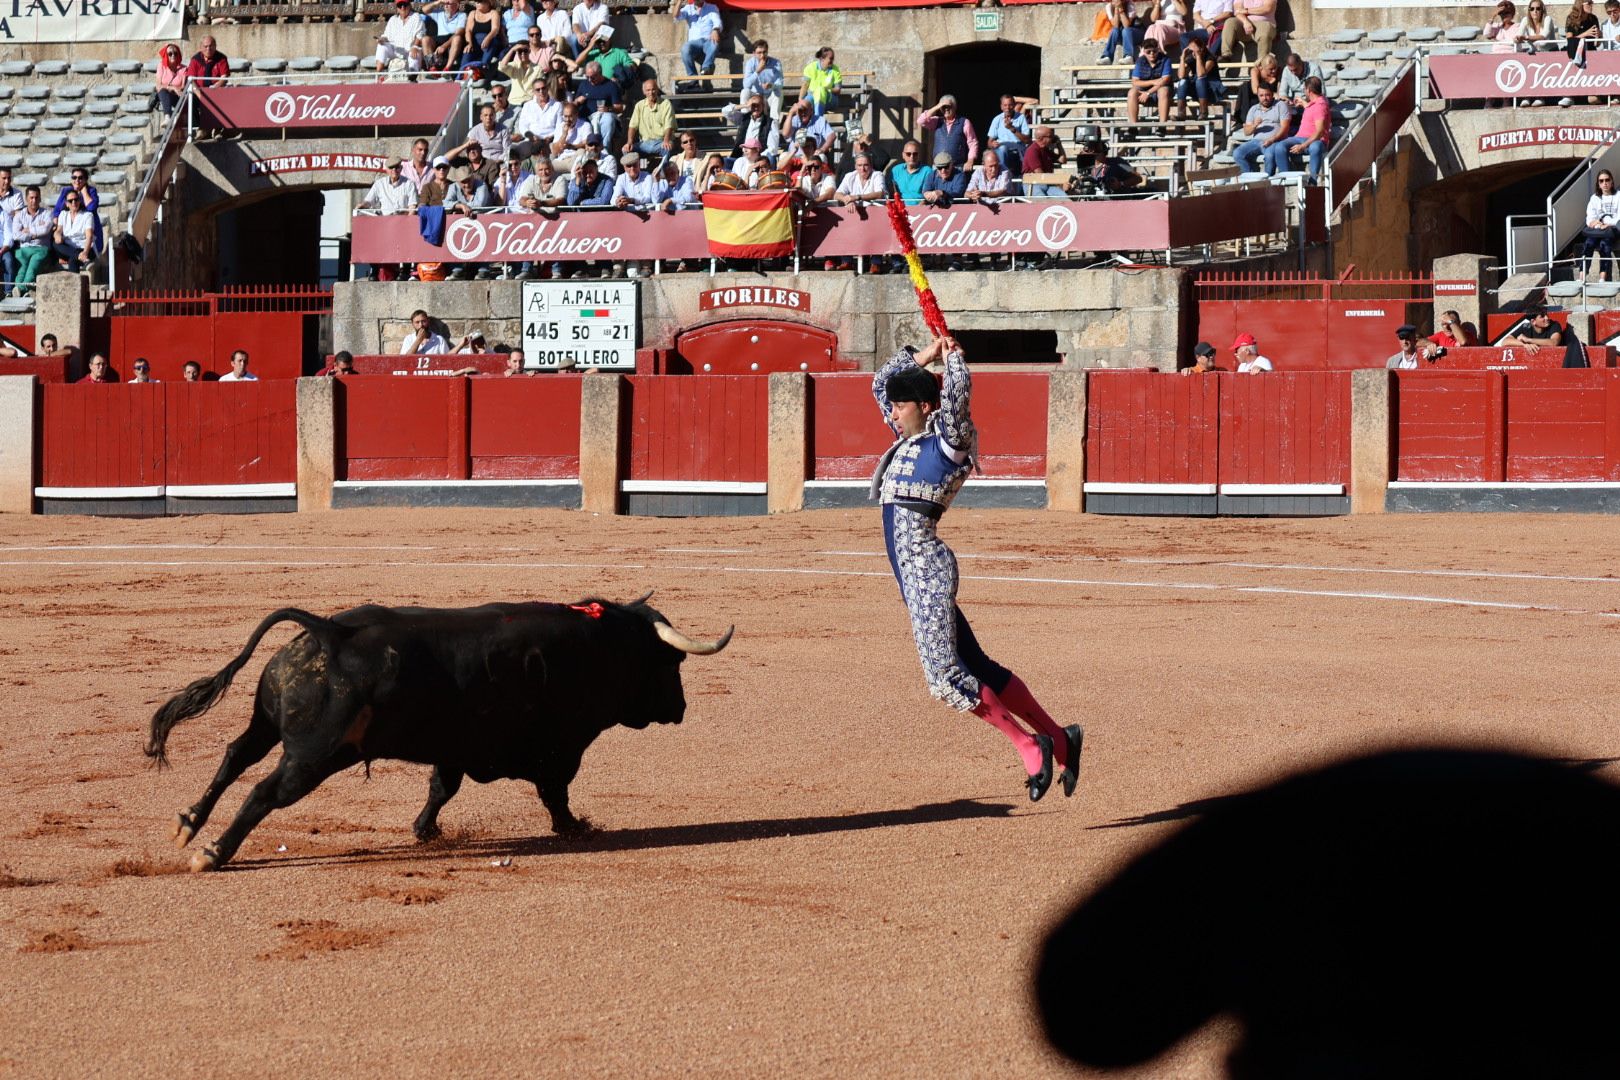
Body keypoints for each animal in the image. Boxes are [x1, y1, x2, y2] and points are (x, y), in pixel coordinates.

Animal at [149, 595, 732, 874]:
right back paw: (212, 853)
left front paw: (424, 831)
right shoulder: (560, 748)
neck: (600, 646)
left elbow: (441, 788)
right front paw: (575, 829)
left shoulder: (455, 748)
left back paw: (186, 825)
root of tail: (330, 630)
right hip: (313, 756)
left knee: (234, 756)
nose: (681, 708)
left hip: (268, 726)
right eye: (672, 662)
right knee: (264, 791)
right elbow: (556, 793)